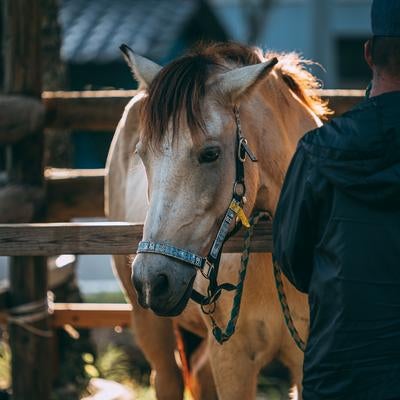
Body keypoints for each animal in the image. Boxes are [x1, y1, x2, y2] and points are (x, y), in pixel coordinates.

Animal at [104, 42, 330, 398]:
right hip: (149, 323)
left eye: (210, 154)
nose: (152, 280)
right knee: (167, 377)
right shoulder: (232, 360)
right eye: (142, 155)